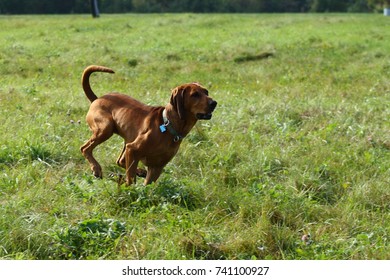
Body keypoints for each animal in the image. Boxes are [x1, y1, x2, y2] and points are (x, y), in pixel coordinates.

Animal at [80, 64, 218, 185]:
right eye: (195, 95)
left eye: (206, 92)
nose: (214, 103)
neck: (168, 126)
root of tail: (97, 99)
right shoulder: (133, 149)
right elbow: (130, 180)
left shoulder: (157, 166)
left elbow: (147, 186)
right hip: (106, 128)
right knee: (85, 148)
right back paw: (96, 168)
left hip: (126, 140)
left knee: (120, 161)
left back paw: (139, 171)